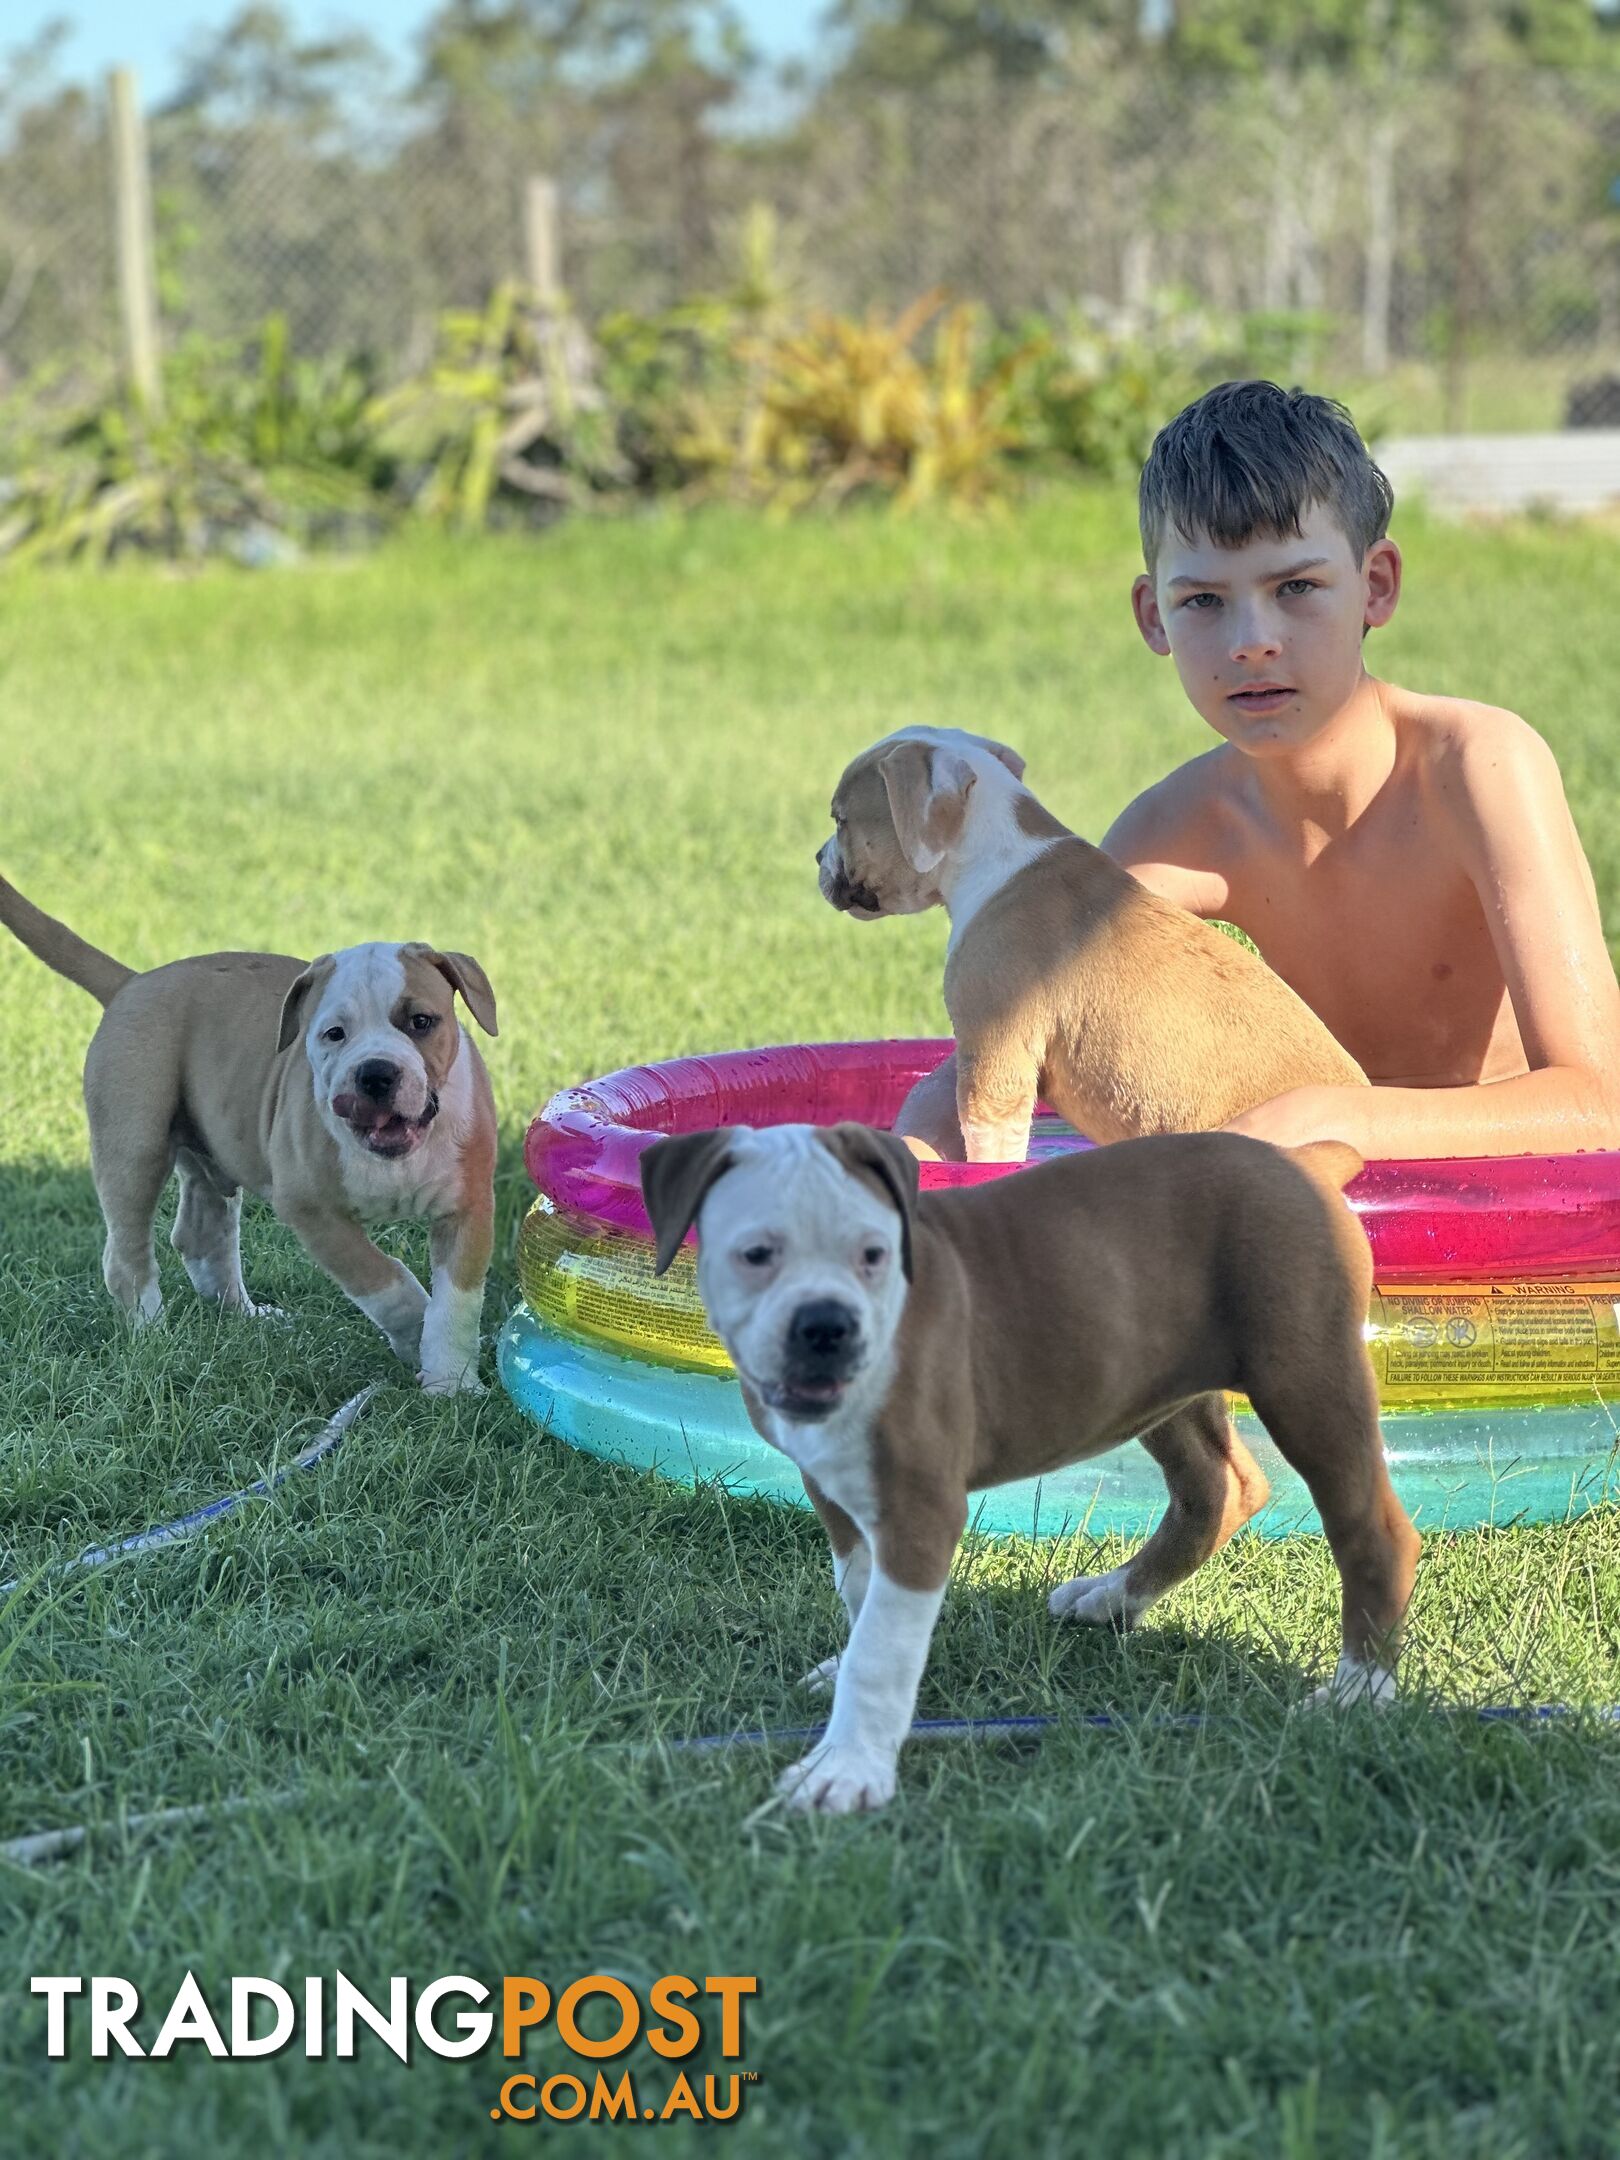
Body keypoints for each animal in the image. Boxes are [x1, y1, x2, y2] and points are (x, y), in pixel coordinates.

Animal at [0, 868, 498, 1391]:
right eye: (333, 1034)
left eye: (421, 1021)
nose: (376, 1073)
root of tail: (132, 983)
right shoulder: (313, 1212)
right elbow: (387, 1282)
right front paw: (417, 1336)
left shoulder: (468, 1208)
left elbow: (456, 1304)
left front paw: (452, 1384)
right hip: (134, 1148)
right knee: (128, 1252)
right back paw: (153, 1336)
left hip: (207, 1154)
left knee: (201, 1234)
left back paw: (247, 1318)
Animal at [648, 1123, 1416, 1814]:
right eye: (756, 1254)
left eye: (872, 1254)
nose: (826, 1326)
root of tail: (1304, 1159)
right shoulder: (835, 1495)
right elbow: (863, 1599)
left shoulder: (919, 1510)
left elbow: (882, 1652)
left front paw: (847, 1768)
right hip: (1160, 1388)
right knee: (1218, 1488)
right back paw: (1113, 1596)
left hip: (1307, 1381)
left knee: (1373, 1533)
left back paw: (1358, 1691)